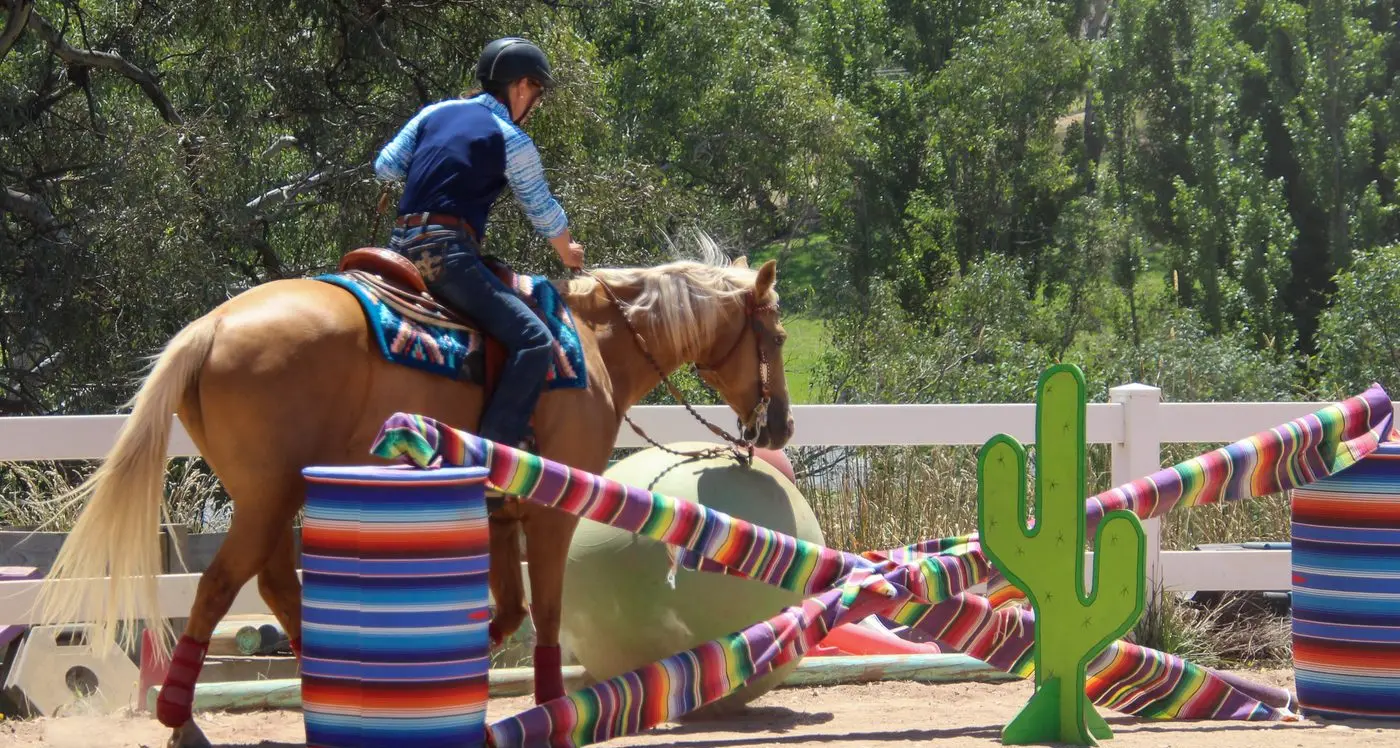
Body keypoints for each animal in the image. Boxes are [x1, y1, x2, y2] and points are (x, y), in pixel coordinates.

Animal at [33, 244, 793, 746]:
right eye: (779, 335)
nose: (780, 425)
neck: (596, 344)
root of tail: (212, 326)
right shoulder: (550, 512)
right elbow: (546, 610)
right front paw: (550, 710)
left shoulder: (501, 515)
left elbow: (510, 609)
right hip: (269, 496)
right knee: (223, 584)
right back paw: (184, 722)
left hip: (272, 498)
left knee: (273, 583)